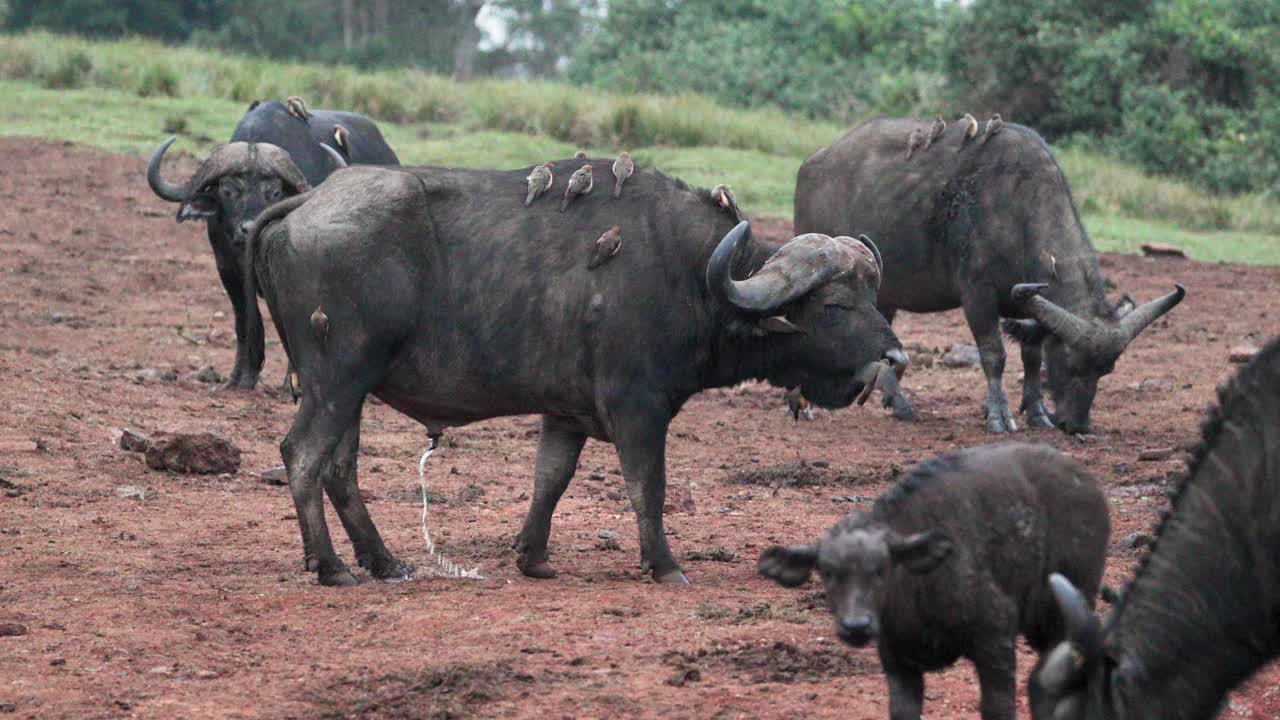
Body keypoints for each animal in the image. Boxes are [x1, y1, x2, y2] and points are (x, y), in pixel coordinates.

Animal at [144, 98, 399, 389]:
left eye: (275, 192)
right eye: (227, 191)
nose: (249, 227)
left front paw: (292, 383)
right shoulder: (228, 272)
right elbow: (244, 322)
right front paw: (240, 378)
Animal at [244, 161, 906, 584]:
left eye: (873, 296)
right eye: (835, 305)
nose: (894, 359)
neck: (692, 277)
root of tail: (307, 202)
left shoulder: (564, 413)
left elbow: (551, 480)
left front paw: (532, 557)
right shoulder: (639, 409)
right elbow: (647, 486)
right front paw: (664, 564)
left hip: (351, 388)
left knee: (339, 468)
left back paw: (382, 562)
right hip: (338, 378)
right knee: (303, 454)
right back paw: (331, 567)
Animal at [757, 440, 1111, 717]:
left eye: (881, 568)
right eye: (828, 571)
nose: (856, 626)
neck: (916, 593)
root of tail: (1086, 481)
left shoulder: (996, 639)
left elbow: (999, 708)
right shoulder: (898, 665)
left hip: (1062, 613)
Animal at [793, 117, 1182, 430]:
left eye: (1106, 369)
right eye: (1069, 363)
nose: (1077, 425)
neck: (1018, 208)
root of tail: (811, 164)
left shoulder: (1030, 305)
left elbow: (1031, 357)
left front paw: (1037, 412)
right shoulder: (977, 296)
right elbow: (994, 355)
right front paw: (998, 415)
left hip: (882, 294)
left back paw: (898, 403)